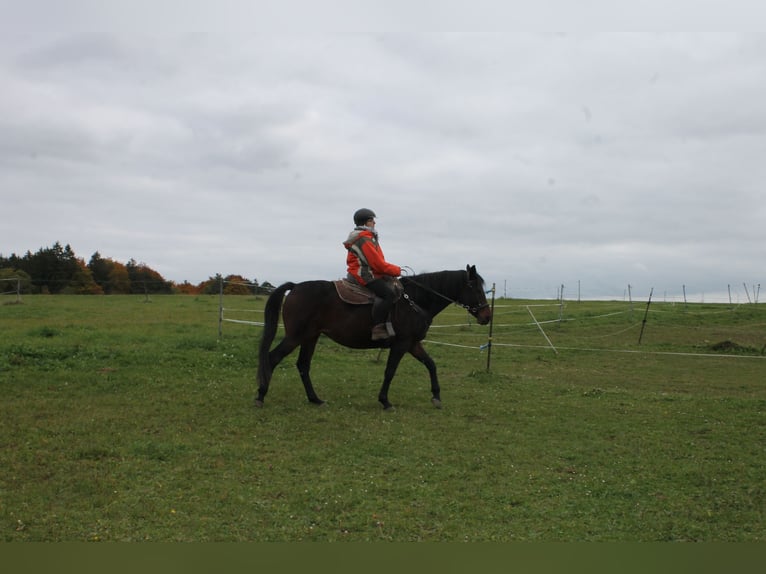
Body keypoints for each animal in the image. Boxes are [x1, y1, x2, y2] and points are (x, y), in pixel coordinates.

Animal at [255, 264, 492, 410]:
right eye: (475, 288)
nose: (486, 316)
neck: (414, 301)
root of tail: (295, 287)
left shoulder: (413, 344)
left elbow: (431, 365)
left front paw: (436, 397)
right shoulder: (401, 344)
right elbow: (390, 371)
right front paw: (385, 401)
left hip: (310, 337)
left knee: (303, 365)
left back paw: (315, 399)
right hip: (295, 337)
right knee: (272, 358)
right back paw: (261, 395)